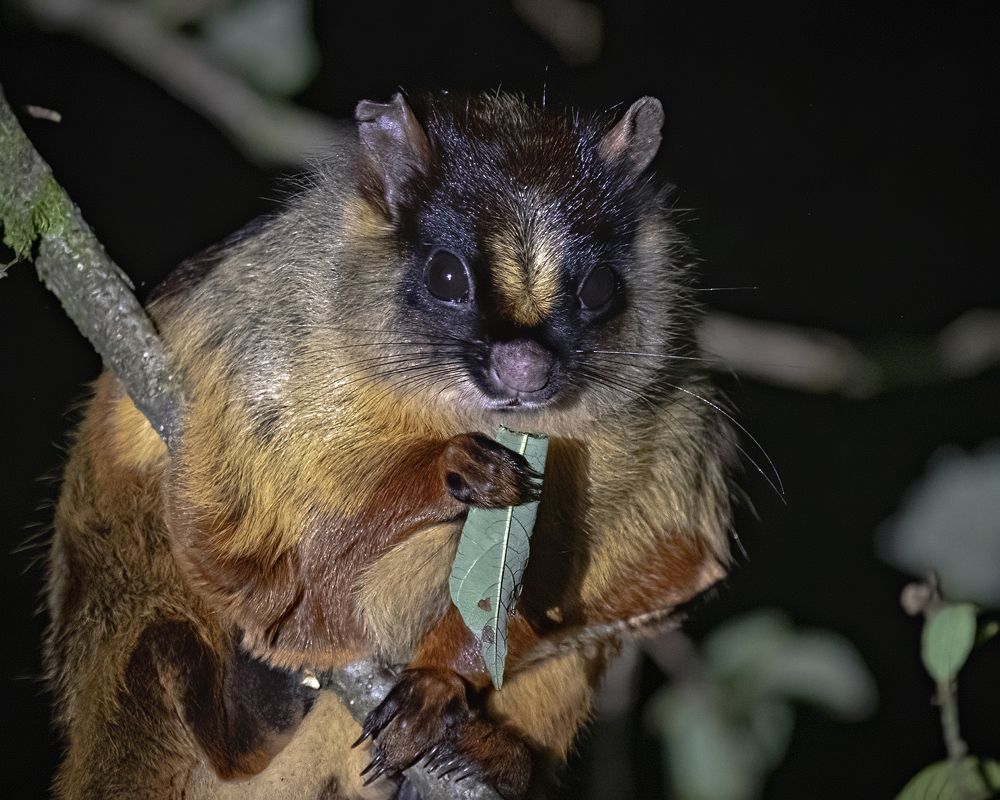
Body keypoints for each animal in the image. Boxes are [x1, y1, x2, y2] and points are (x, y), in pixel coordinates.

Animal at [45, 92, 734, 799]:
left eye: (597, 289)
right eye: (447, 277)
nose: (525, 367)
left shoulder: (666, 417)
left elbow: (674, 561)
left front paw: (437, 684)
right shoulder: (253, 356)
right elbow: (245, 570)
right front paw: (454, 475)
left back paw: (493, 758)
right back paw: (245, 716)